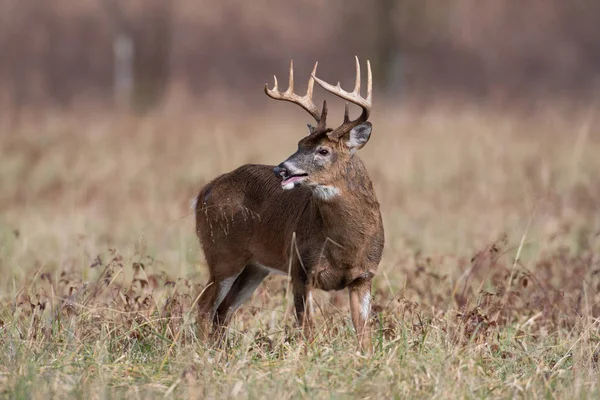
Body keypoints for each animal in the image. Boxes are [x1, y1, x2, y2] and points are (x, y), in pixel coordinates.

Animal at [195, 57, 386, 352]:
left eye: (323, 150)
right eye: (299, 144)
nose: (281, 169)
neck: (346, 244)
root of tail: (204, 190)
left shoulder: (364, 276)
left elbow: (364, 334)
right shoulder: (301, 268)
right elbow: (307, 329)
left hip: (255, 267)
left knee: (223, 310)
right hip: (222, 252)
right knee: (205, 307)